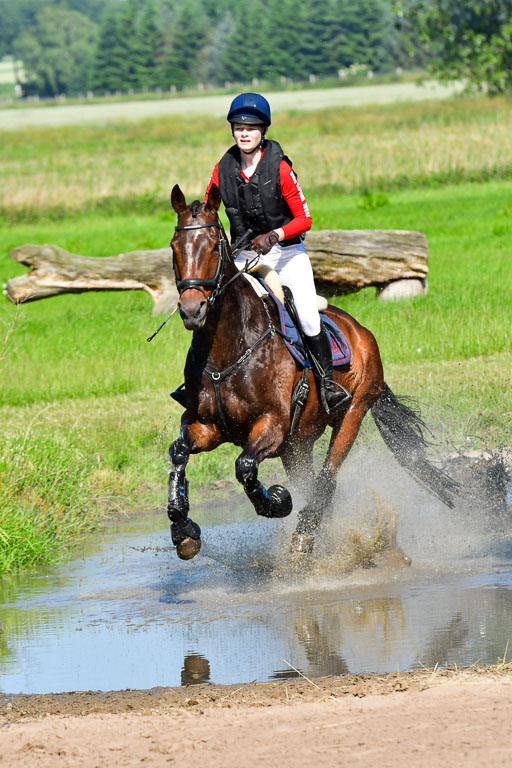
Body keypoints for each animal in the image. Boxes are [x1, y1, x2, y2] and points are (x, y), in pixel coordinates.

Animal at [167, 183, 458, 561]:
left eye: (214, 245)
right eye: (174, 246)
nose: (192, 310)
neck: (226, 350)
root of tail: (361, 331)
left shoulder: (271, 425)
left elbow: (245, 467)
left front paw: (276, 501)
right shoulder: (205, 425)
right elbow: (178, 453)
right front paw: (182, 530)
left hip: (351, 414)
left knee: (326, 479)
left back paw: (305, 536)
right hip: (298, 443)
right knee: (311, 483)